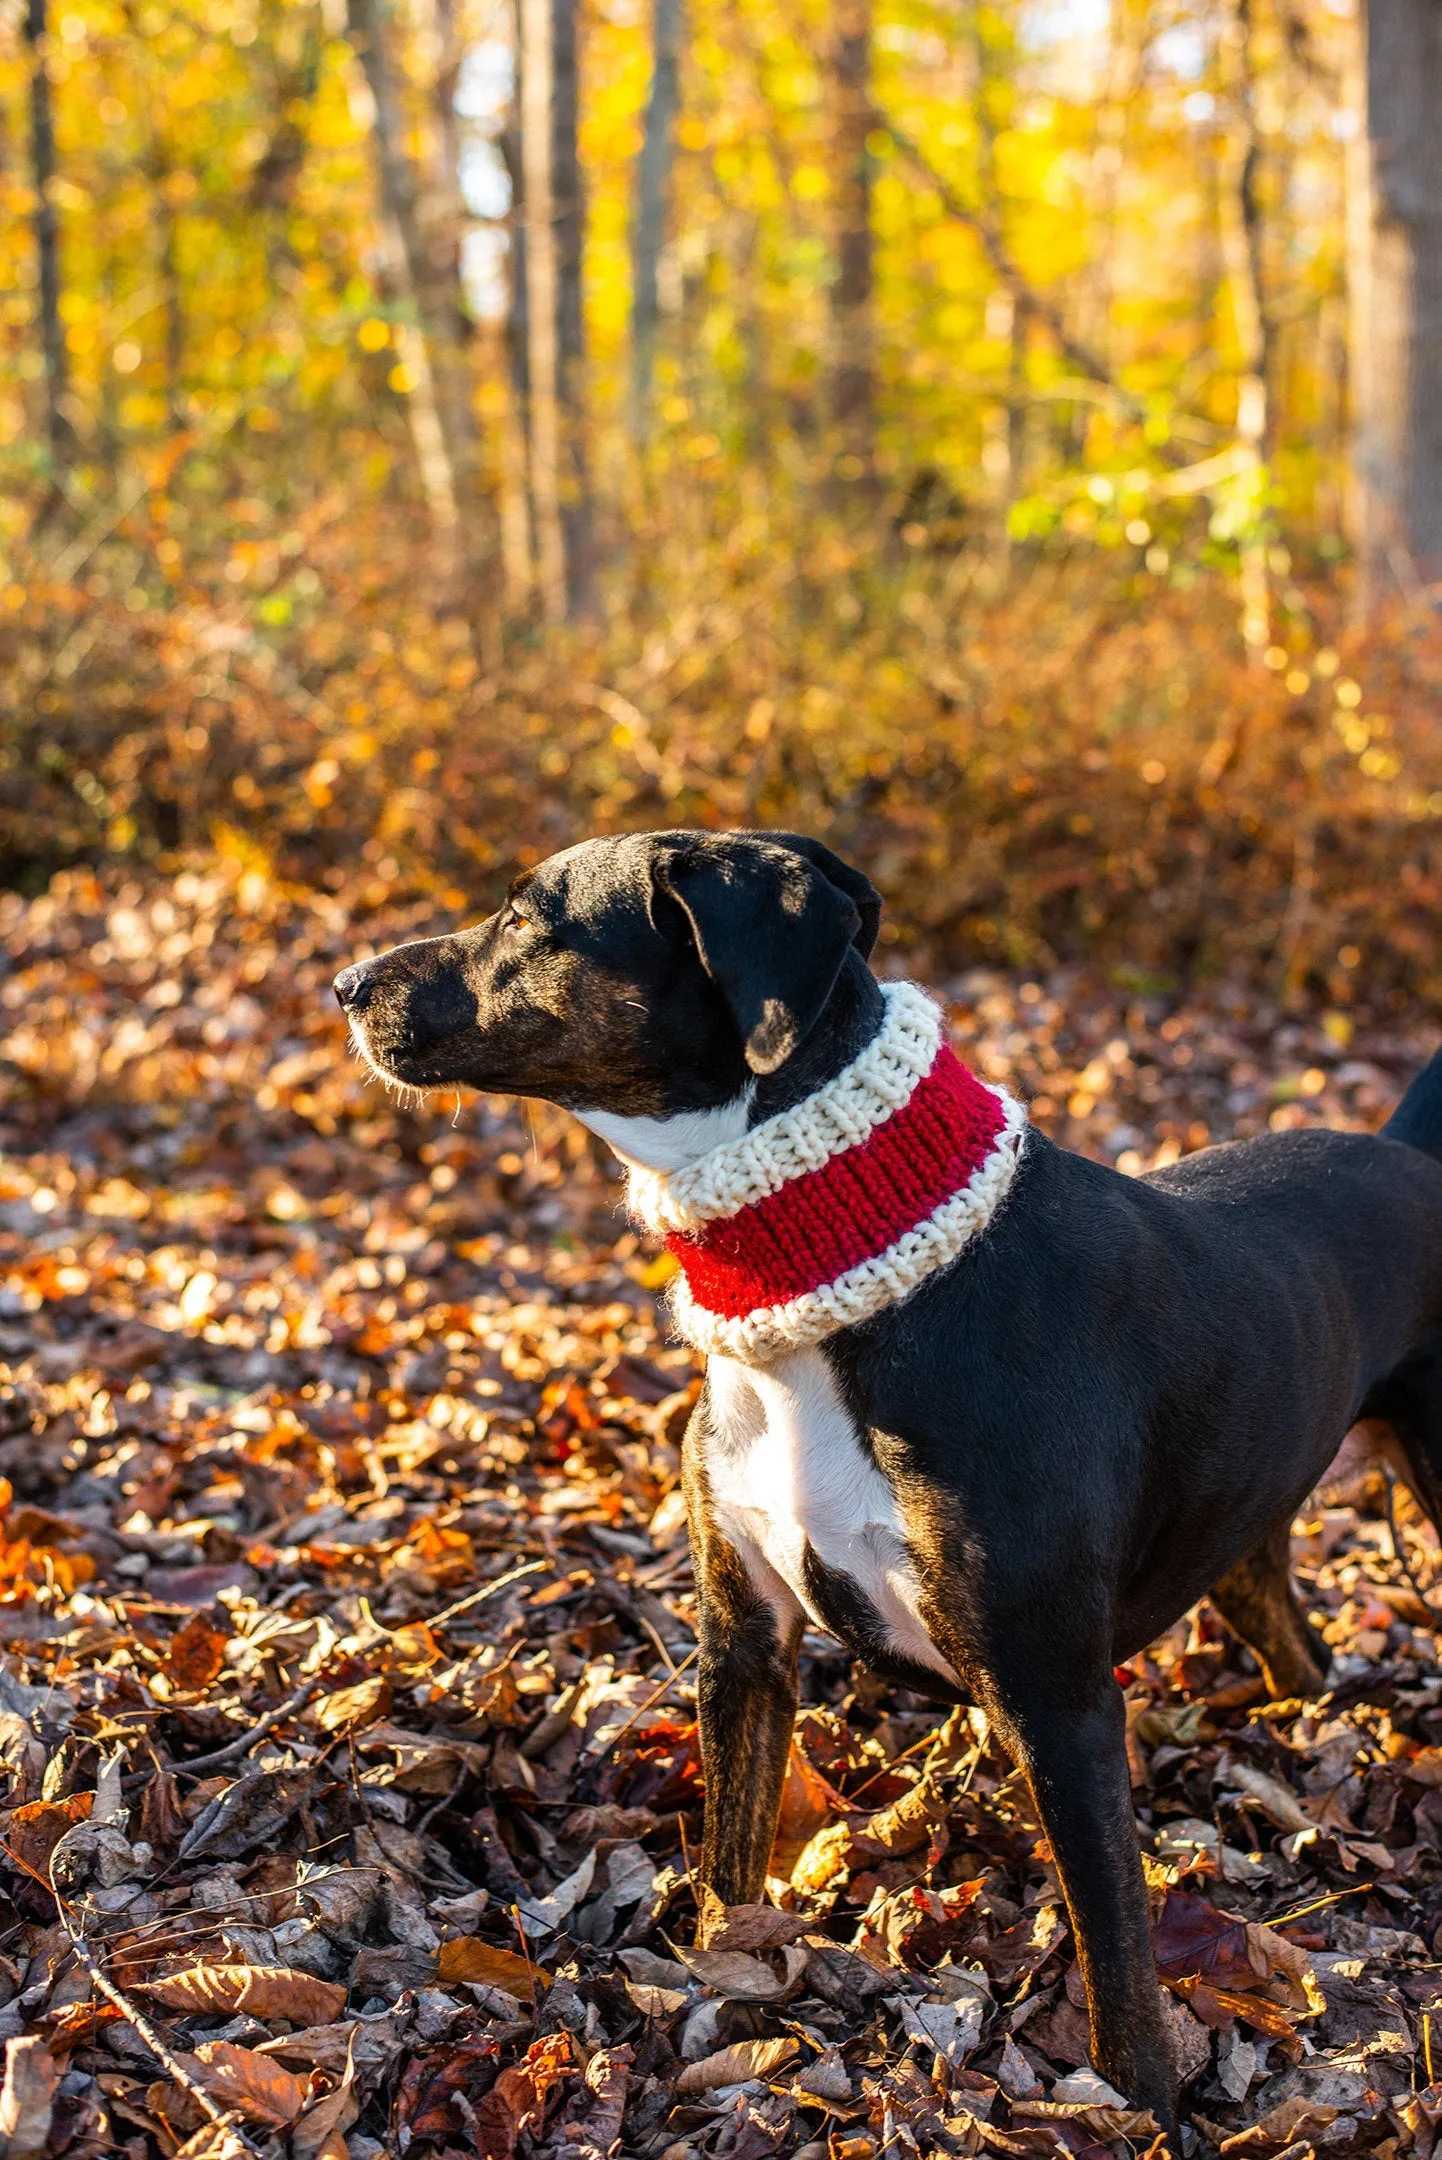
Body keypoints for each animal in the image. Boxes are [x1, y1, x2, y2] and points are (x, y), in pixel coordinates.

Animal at [332, 825, 1442, 2125]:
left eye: (527, 918)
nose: (345, 983)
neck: (835, 1279)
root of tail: (1407, 1160)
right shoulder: (743, 1643)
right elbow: (726, 1863)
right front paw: (715, 1976)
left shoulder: (1059, 1701)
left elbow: (1115, 1952)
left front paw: (1135, 2107)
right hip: (1245, 1520)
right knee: (1293, 1642)